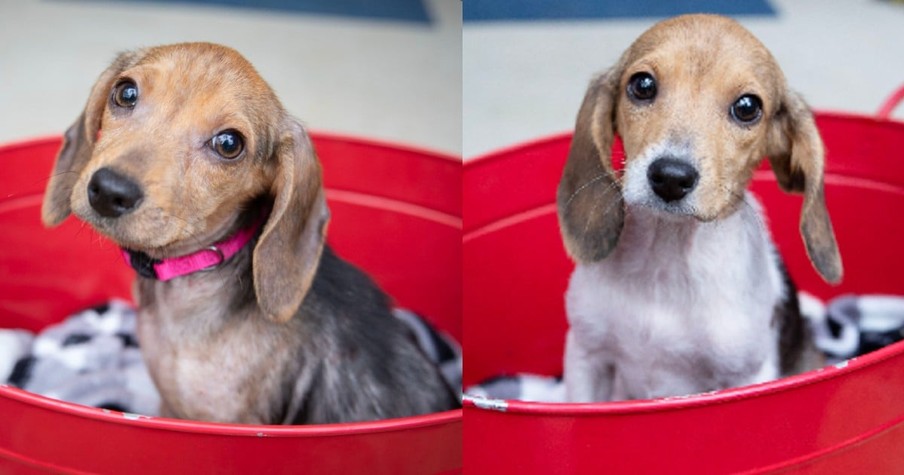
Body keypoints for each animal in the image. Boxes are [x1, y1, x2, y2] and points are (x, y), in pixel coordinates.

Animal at [556, 13, 844, 402]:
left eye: (748, 107)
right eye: (642, 84)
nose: (670, 177)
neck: (667, 255)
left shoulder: (747, 377)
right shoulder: (587, 355)